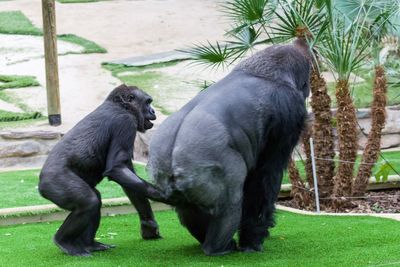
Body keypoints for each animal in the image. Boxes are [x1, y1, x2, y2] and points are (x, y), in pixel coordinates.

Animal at [39, 85, 160, 256]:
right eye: (148, 102)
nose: (153, 110)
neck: (122, 107)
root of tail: (40, 184)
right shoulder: (125, 123)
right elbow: (117, 168)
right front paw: (161, 193)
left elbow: (128, 177)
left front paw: (148, 225)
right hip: (56, 183)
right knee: (89, 202)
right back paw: (64, 242)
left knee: (95, 199)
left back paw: (90, 244)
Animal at [146, 45, 310, 256]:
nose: (307, 90)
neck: (269, 74)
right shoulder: (290, 110)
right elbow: (266, 176)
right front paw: (253, 239)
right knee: (231, 202)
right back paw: (219, 248)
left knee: (189, 208)